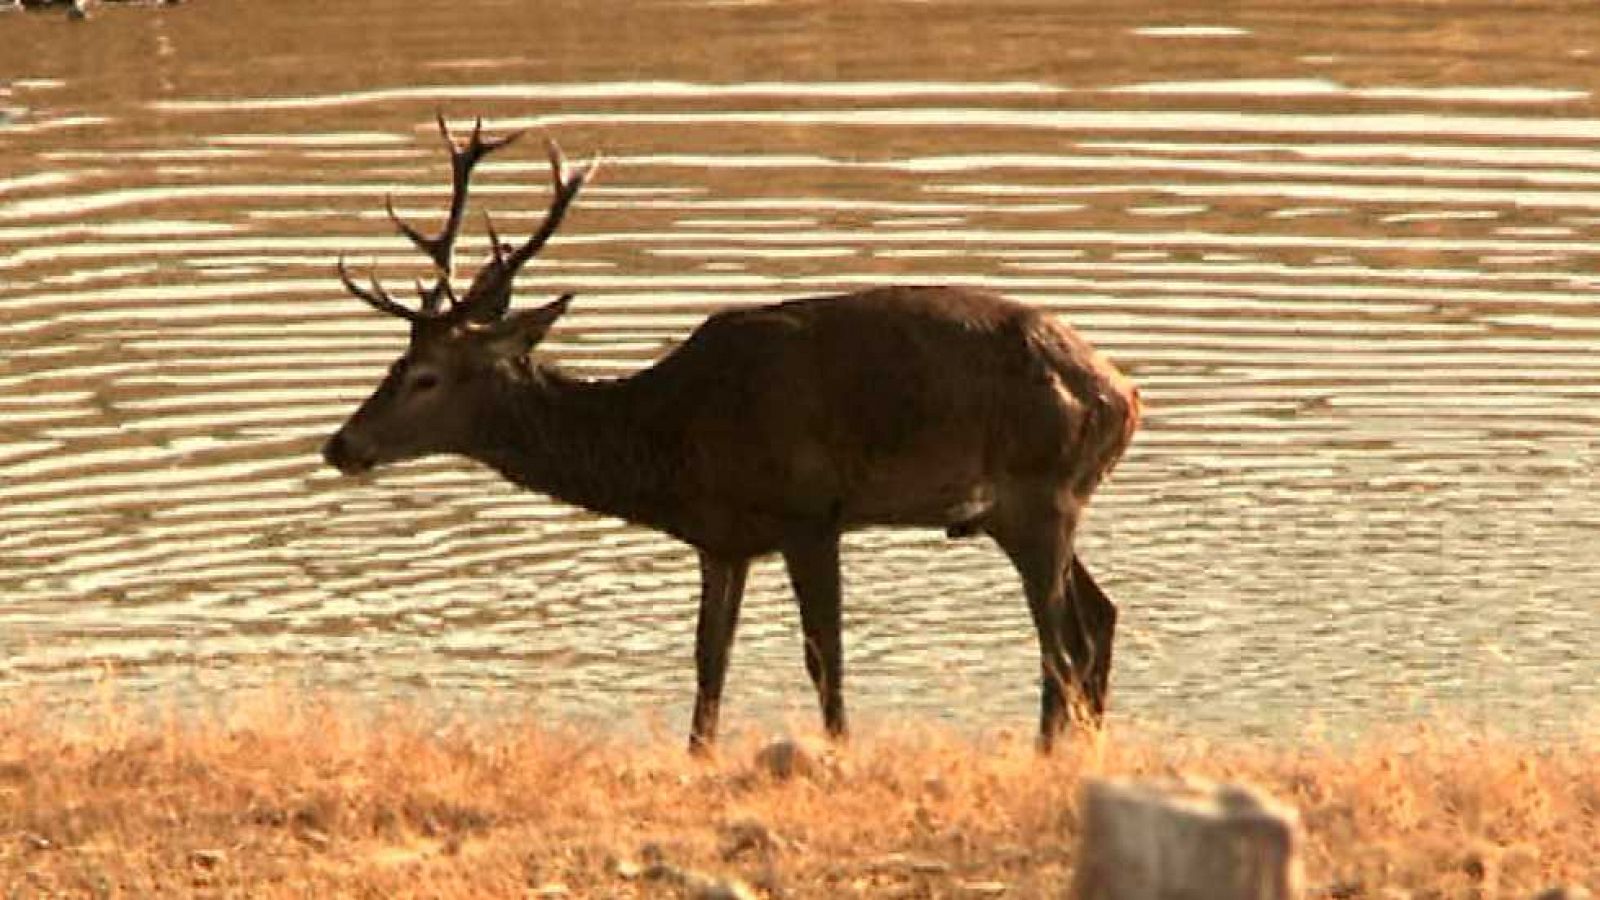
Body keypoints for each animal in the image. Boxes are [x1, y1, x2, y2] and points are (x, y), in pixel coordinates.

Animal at [321, 117, 1139, 749]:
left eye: (426, 375)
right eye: (396, 361)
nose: (341, 445)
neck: (674, 446)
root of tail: (1123, 394)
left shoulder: (812, 514)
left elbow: (824, 656)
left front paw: (837, 751)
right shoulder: (721, 540)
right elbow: (708, 658)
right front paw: (699, 756)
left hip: (1040, 490)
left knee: (1062, 642)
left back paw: (1045, 752)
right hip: (1025, 508)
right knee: (1098, 617)